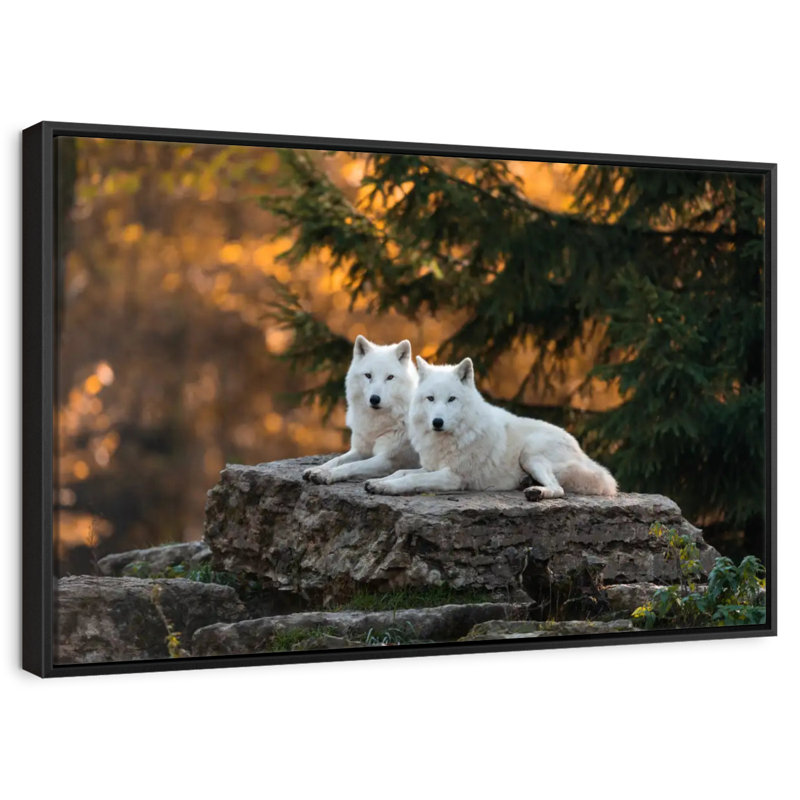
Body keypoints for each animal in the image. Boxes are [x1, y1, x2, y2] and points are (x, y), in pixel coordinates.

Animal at [303, 335, 420, 485]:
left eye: (390, 377)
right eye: (368, 375)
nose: (374, 399)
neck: (376, 424)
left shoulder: (387, 459)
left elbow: (351, 465)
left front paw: (327, 474)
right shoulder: (360, 450)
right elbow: (337, 459)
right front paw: (318, 469)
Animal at [364, 355, 617, 500]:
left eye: (451, 399)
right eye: (431, 399)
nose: (437, 422)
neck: (454, 436)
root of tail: (580, 450)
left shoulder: (453, 477)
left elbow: (410, 480)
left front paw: (387, 488)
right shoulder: (429, 467)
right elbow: (401, 472)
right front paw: (379, 482)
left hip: (530, 454)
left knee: (559, 489)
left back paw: (536, 492)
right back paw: (528, 484)